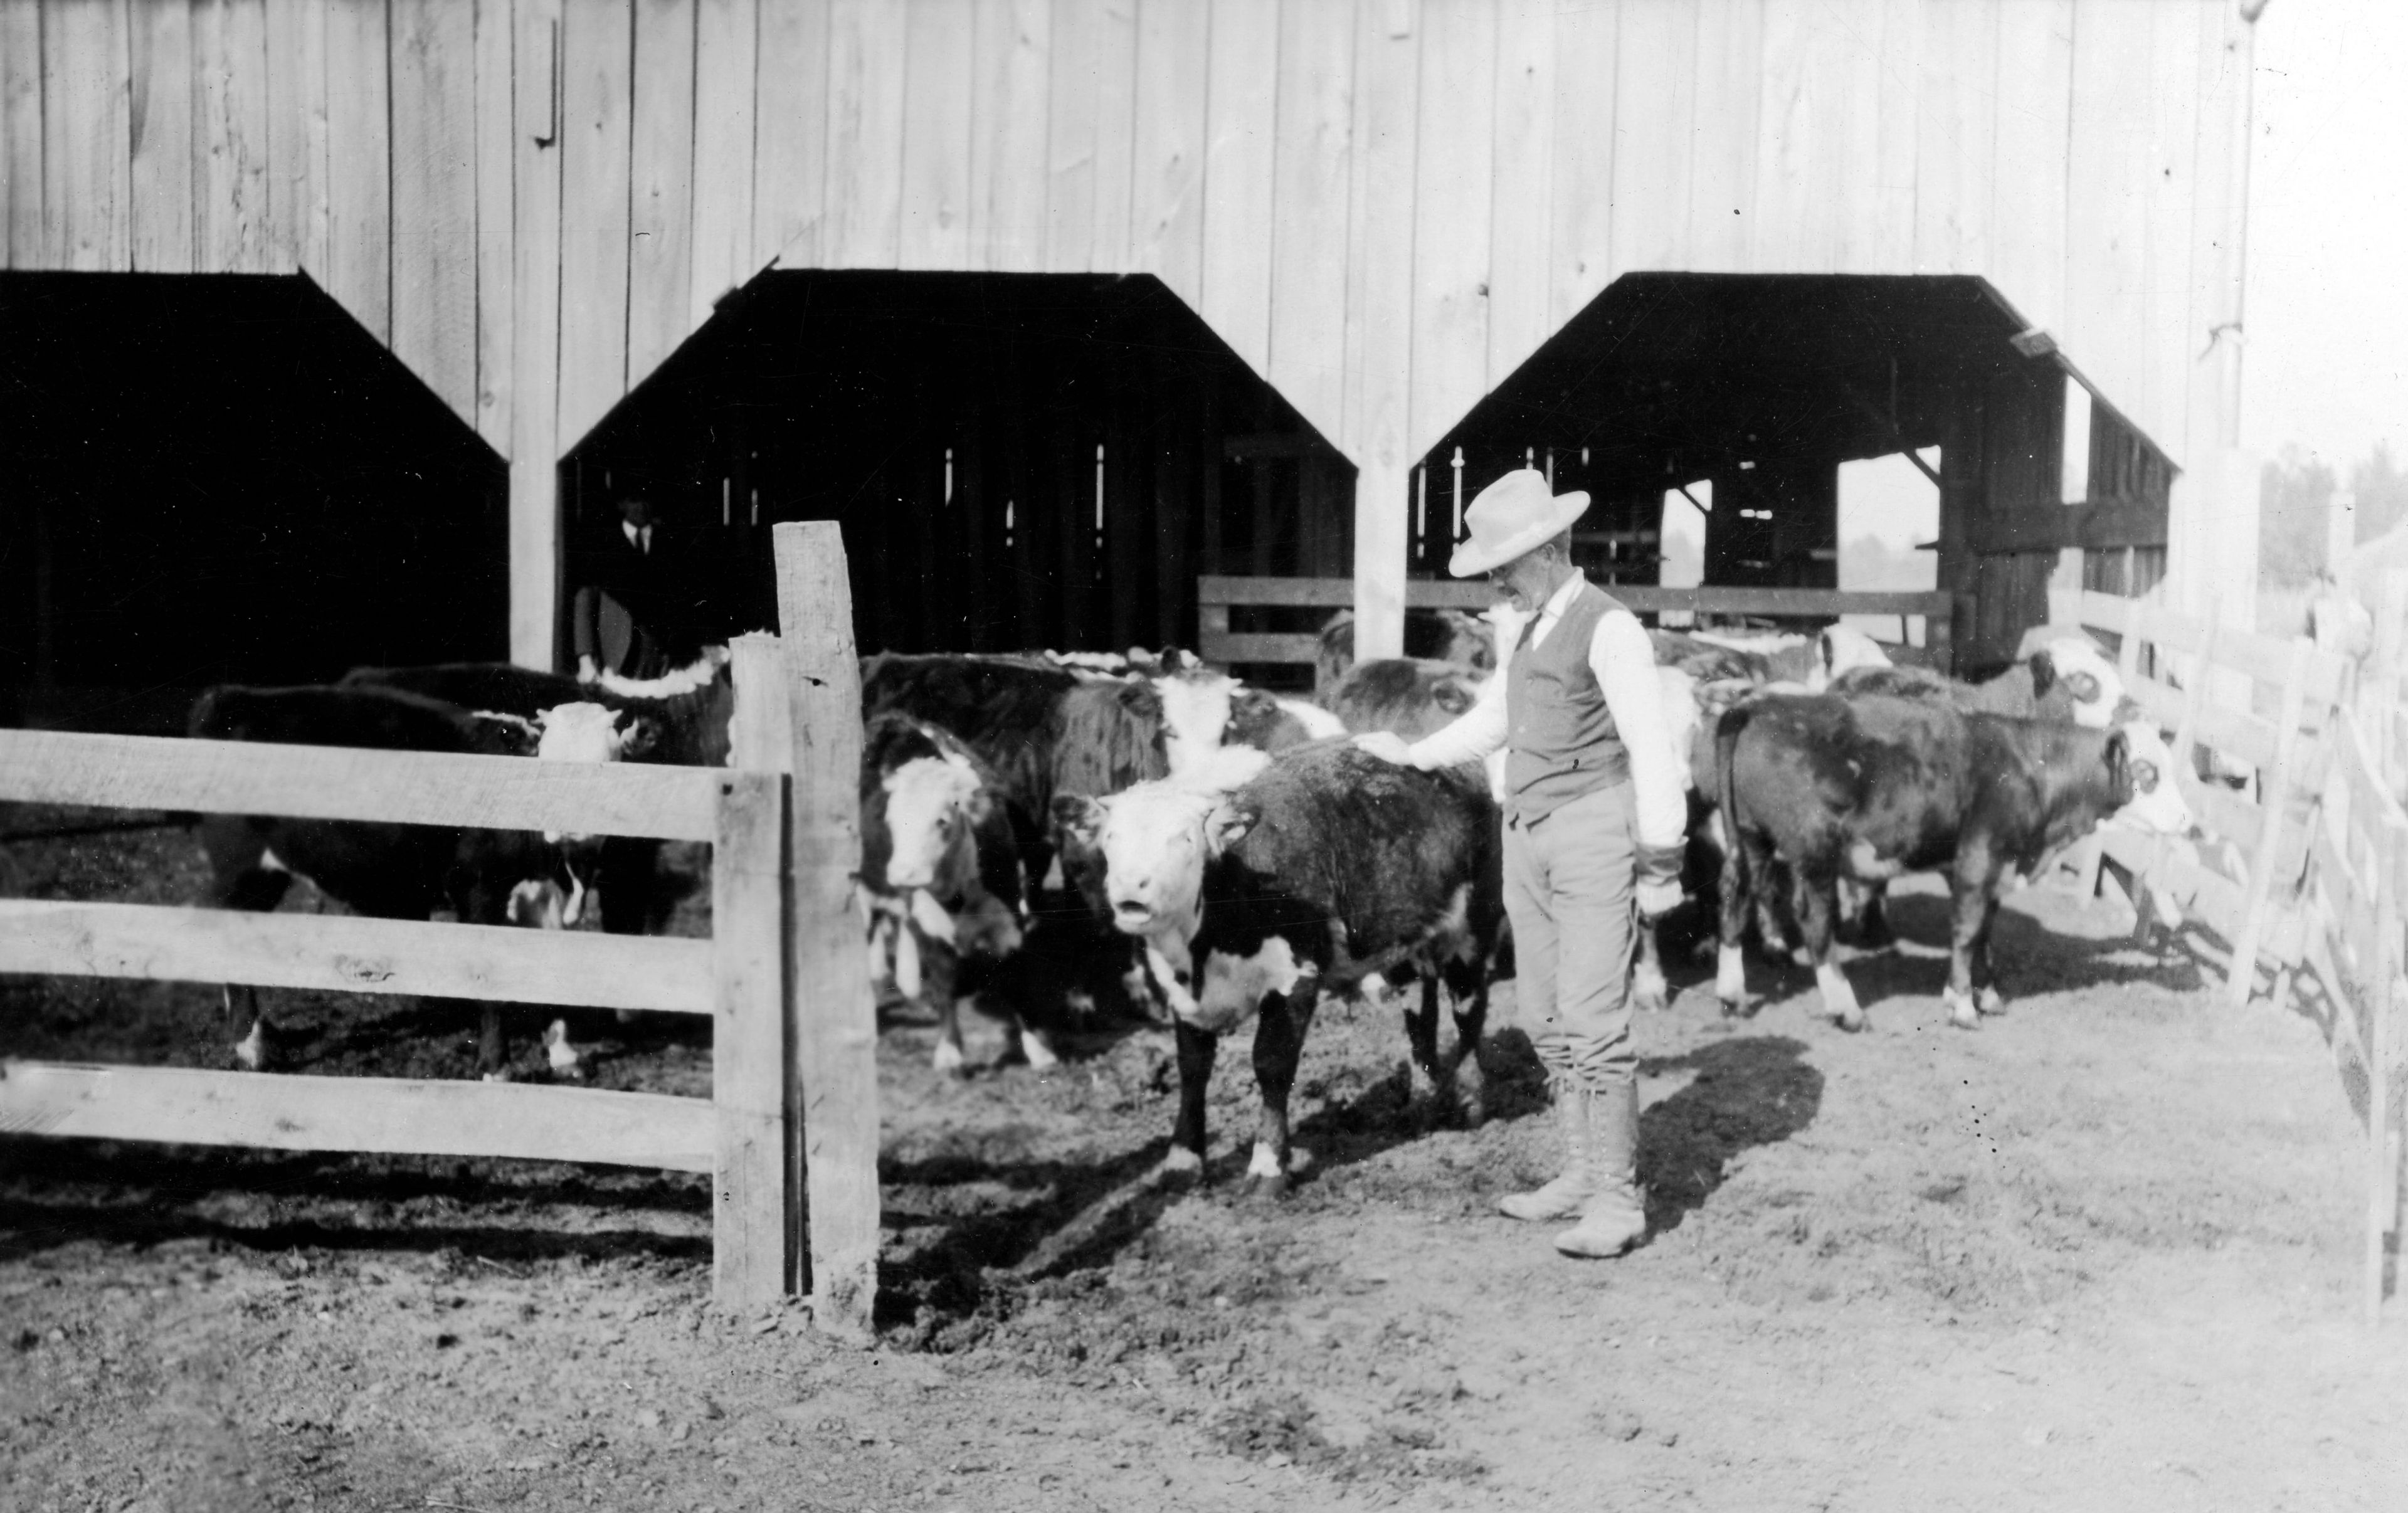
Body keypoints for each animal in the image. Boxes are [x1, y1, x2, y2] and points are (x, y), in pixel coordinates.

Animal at [1059, 742, 1502, 1194]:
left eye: (1185, 839)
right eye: (1111, 839)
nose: (1131, 887)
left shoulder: (1296, 975)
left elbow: (1272, 1064)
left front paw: (1267, 1167)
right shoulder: (1182, 995)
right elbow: (1192, 1069)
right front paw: (1183, 1160)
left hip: (1474, 927)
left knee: (1469, 1007)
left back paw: (1471, 1100)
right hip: (1402, 941)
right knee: (1420, 1013)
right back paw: (1422, 1104)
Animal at [1704, 693, 2138, 1026]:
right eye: (2146, 769)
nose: (2137, 790)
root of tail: (1759, 705)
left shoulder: (1990, 869)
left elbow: (1984, 934)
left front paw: (1987, 997)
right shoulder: (1979, 856)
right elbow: (1967, 931)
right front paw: (1962, 1006)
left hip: (1750, 835)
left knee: (1737, 893)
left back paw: (1732, 993)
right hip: (1814, 847)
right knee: (1813, 918)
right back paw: (1846, 1009)